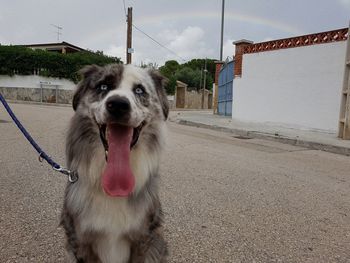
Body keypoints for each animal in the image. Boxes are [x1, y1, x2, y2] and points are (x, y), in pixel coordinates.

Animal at [60, 64, 169, 263]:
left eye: (139, 90)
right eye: (103, 86)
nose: (118, 105)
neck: (113, 191)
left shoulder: (143, 238)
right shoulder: (79, 240)